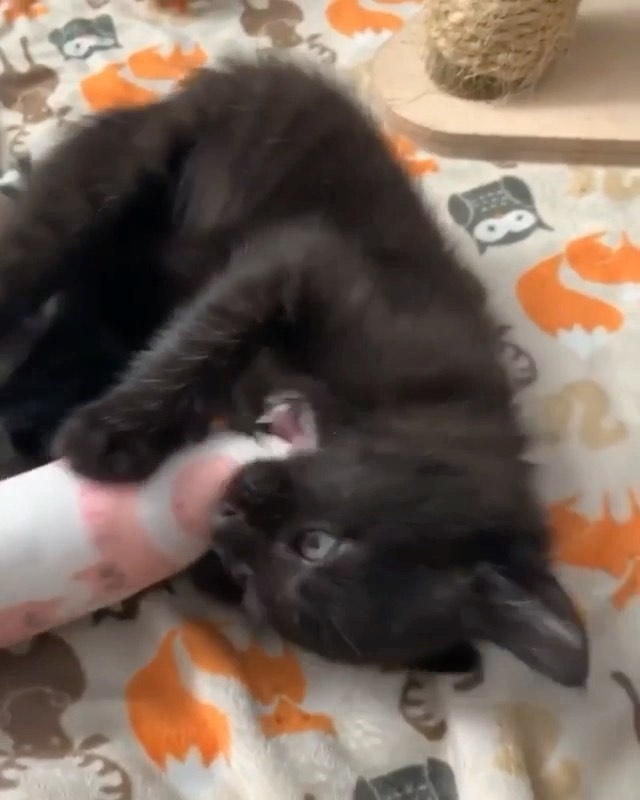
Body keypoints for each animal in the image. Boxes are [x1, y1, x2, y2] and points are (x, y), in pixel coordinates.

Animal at [0, 56, 588, 686]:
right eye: (319, 544)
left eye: (249, 586)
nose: (227, 516)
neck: (438, 406)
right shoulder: (309, 262)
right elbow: (209, 332)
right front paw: (111, 438)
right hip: (119, 174)